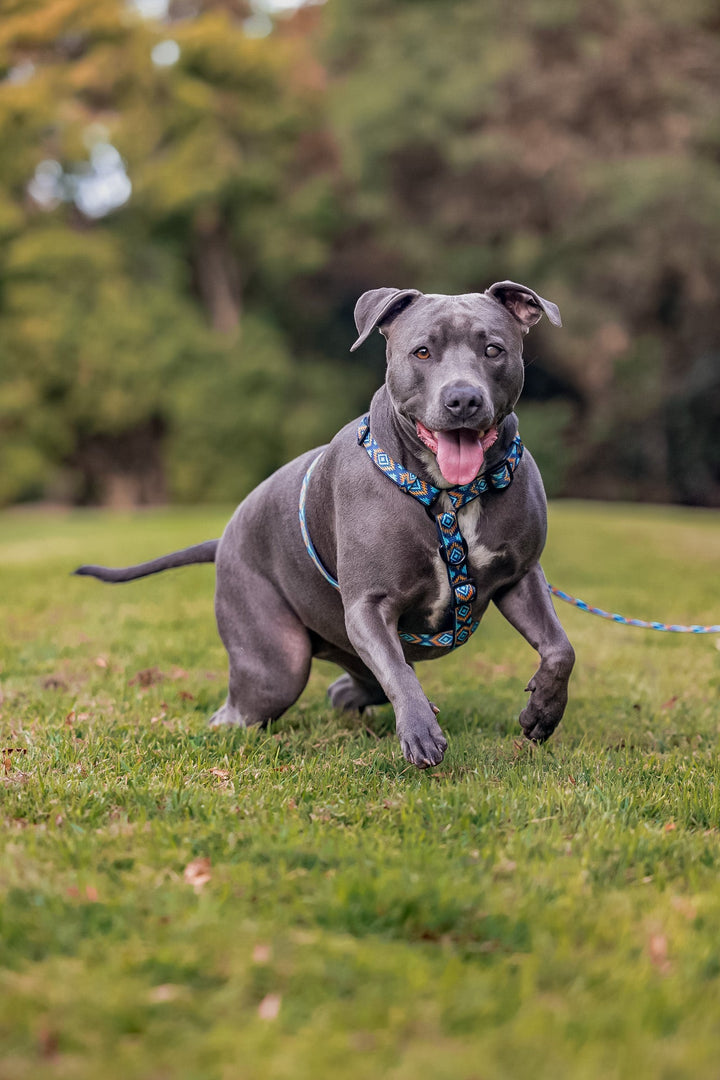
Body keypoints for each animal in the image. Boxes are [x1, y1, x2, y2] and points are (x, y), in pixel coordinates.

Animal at [76, 278, 578, 768]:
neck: (449, 495)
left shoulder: (520, 577)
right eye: (422, 352)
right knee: (252, 704)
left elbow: (560, 649)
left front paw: (542, 712)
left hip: (340, 650)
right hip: (278, 665)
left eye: (493, 349)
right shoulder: (368, 607)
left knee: (355, 685)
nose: (463, 398)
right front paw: (420, 730)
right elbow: (399, 672)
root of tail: (223, 539)